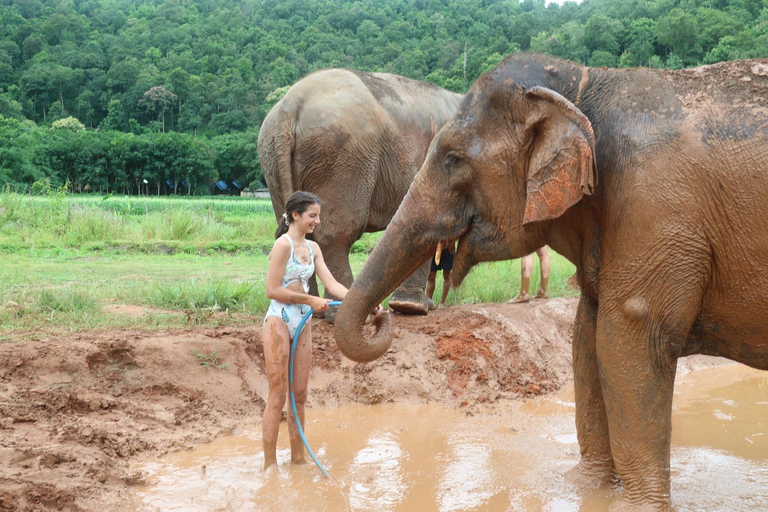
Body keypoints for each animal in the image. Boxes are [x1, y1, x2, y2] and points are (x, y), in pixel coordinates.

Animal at [258, 69, 462, 316]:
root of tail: (290, 105)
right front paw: (413, 308)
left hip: (273, 158)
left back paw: (311, 310)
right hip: (342, 156)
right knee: (336, 235)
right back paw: (337, 312)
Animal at [332, 54, 768, 510]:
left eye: (453, 158)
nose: (383, 316)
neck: (585, 82)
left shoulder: (655, 208)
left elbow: (629, 336)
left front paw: (637, 506)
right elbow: (587, 337)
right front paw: (584, 486)